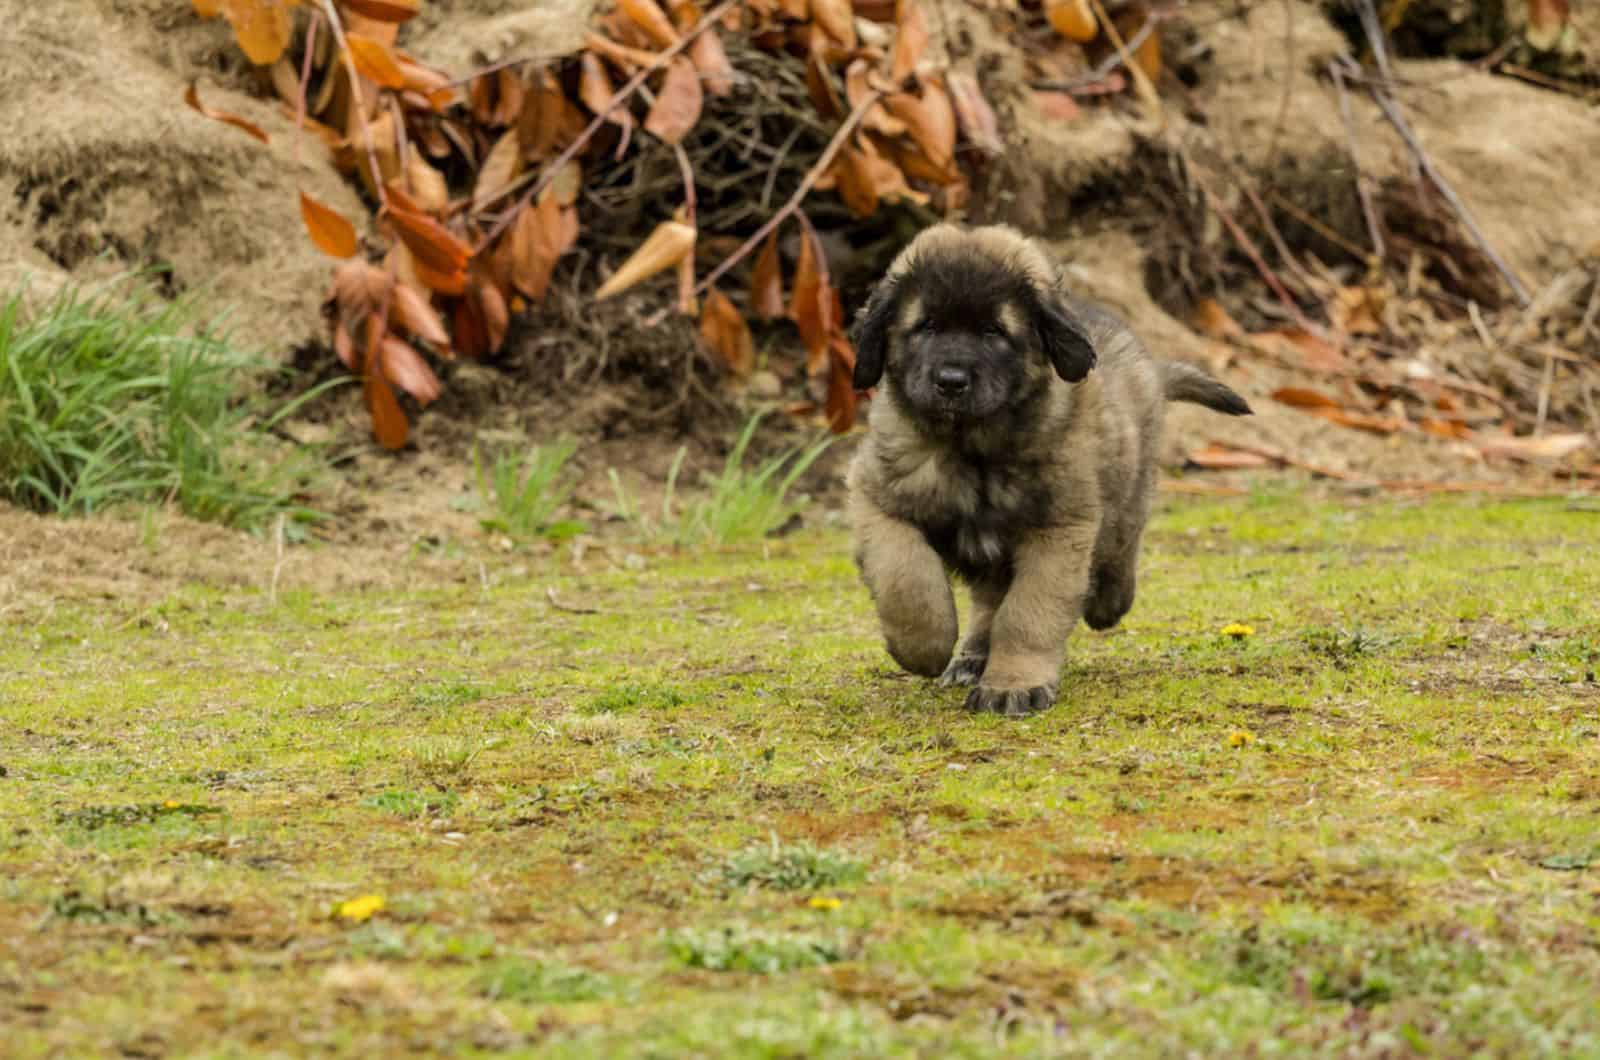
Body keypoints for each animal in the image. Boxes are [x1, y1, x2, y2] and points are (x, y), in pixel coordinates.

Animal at [844, 227, 1254, 717]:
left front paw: (1013, 685)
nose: (951, 381)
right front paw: (923, 648)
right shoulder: (875, 495)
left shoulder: (1060, 529)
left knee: (1122, 543)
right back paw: (973, 656)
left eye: (994, 331)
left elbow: (1027, 613)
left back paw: (1108, 599)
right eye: (926, 326)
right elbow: (905, 577)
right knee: (989, 600)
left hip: (1128, 485)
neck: (971, 450)